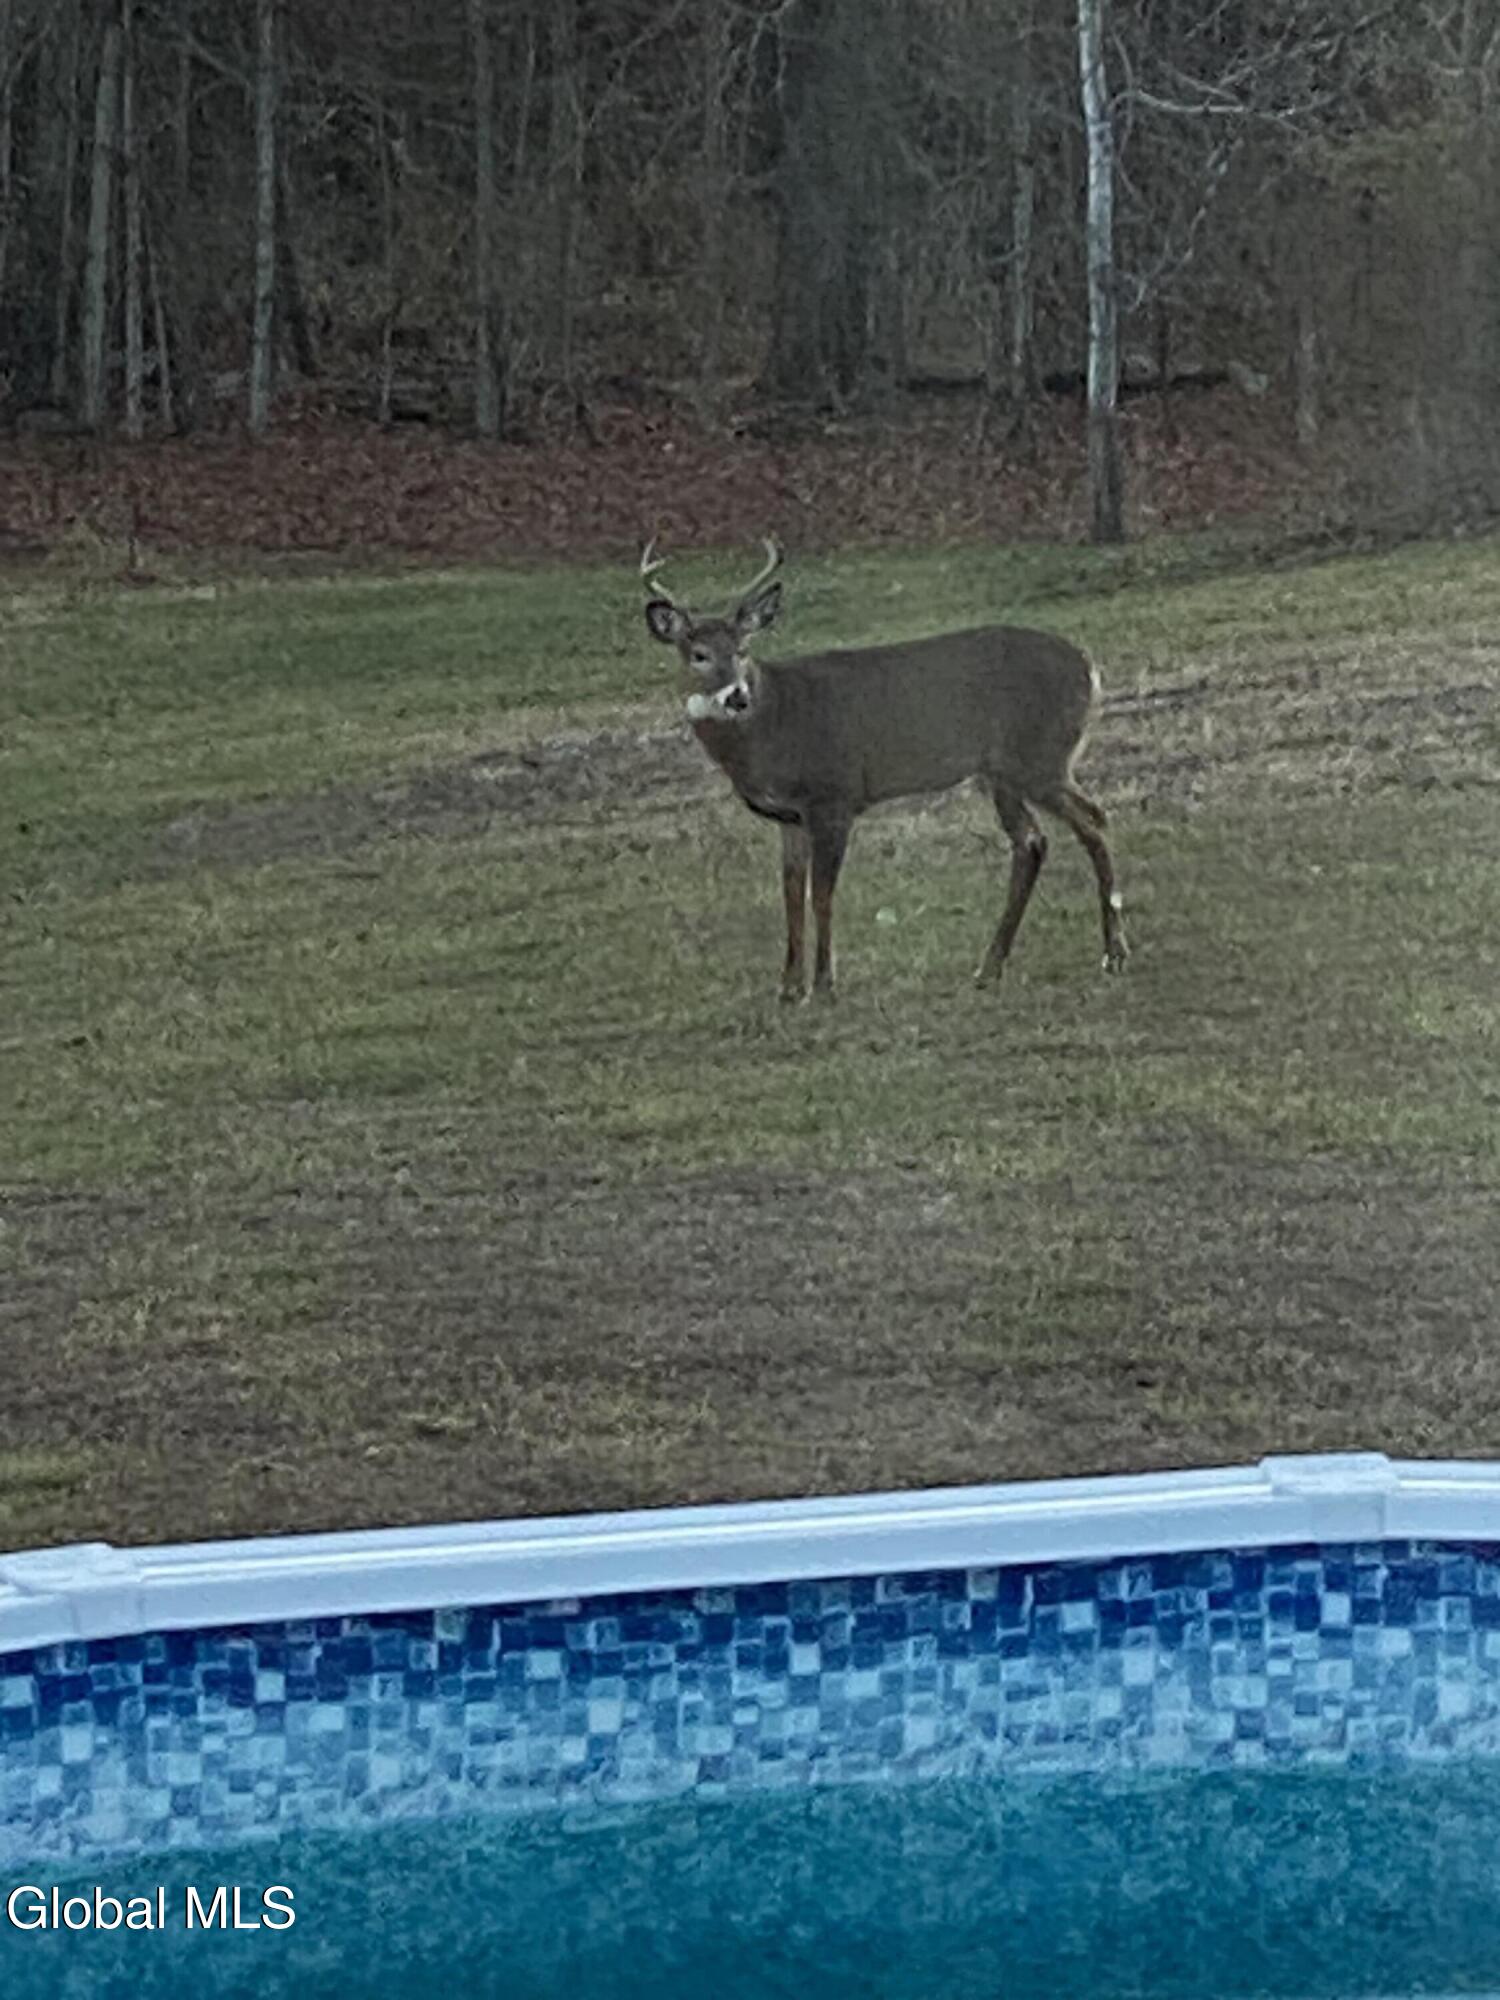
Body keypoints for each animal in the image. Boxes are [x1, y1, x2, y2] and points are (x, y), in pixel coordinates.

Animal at [640, 537, 1127, 1003]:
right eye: (698, 654)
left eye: (742, 650)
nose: (737, 697)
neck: (771, 727)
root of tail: (1089, 666)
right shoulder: (789, 818)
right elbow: (791, 894)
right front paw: (788, 987)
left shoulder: (833, 796)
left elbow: (822, 893)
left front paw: (823, 984)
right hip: (1003, 772)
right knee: (1032, 841)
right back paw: (989, 968)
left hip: (1040, 758)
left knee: (1093, 820)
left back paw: (1113, 953)